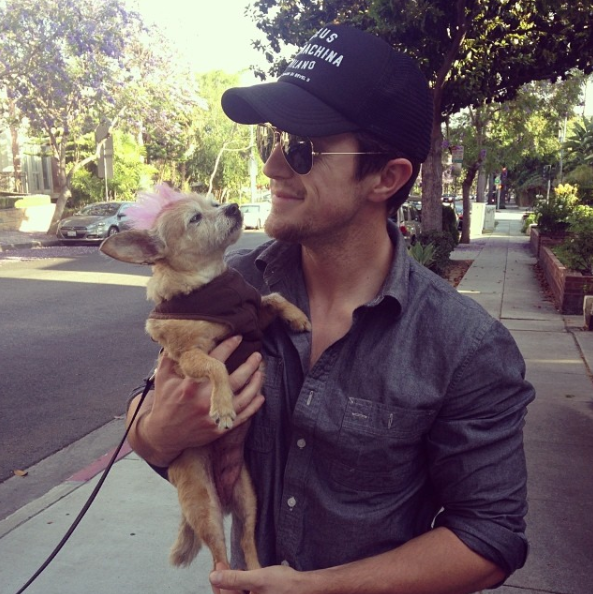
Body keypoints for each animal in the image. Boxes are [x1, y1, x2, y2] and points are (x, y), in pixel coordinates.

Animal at [100, 185, 310, 572]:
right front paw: (223, 407)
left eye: (214, 204)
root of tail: (221, 495)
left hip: (248, 500)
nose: (233, 207)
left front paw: (298, 317)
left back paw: (258, 575)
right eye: (195, 219)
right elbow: (217, 367)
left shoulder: (254, 318)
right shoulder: (188, 357)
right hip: (203, 506)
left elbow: (272, 296)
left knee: (247, 545)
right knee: (219, 563)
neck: (209, 283)